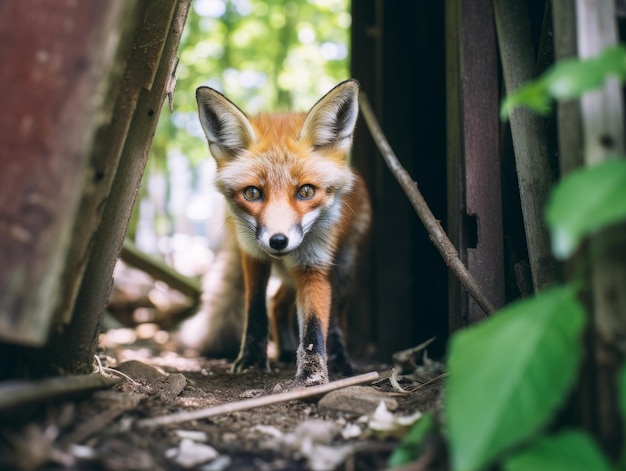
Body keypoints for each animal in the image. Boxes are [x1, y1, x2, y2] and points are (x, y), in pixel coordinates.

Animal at [195, 78, 370, 388]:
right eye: (252, 193)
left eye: (306, 191)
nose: (278, 241)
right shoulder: (252, 255)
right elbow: (255, 312)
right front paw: (252, 361)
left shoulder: (312, 266)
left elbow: (314, 328)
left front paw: (312, 376)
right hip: (288, 275)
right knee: (277, 304)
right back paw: (287, 352)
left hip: (342, 271)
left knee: (335, 317)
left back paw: (339, 358)